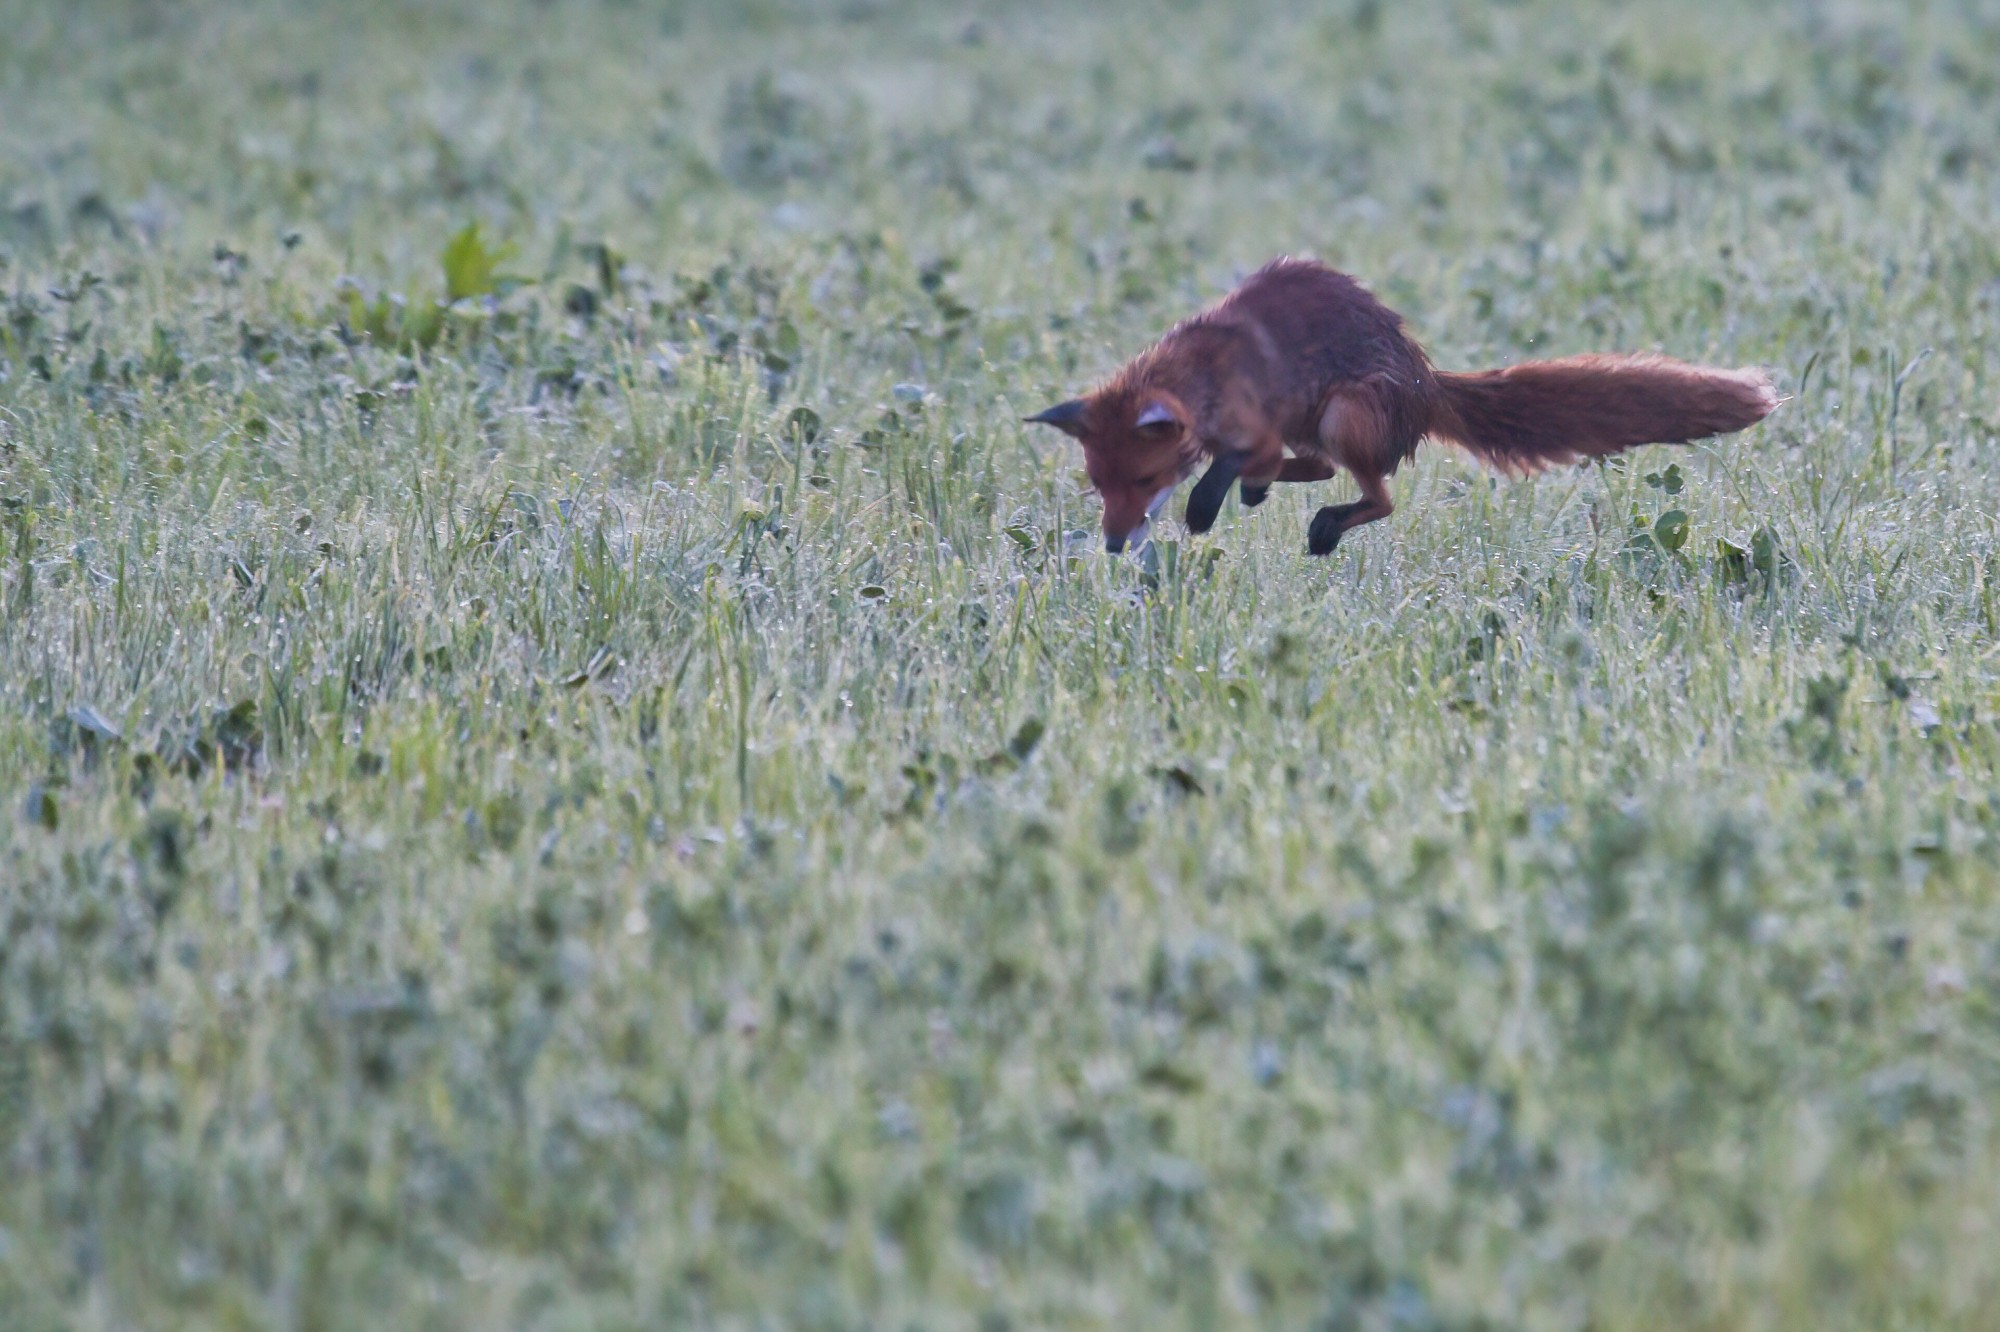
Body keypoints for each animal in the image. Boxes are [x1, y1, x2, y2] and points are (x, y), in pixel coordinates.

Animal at [1027, 256, 1778, 554]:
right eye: (1100, 486)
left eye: (1146, 479)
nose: (1113, 545)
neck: (1208, 377)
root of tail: (1425, 379)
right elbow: (1237, 466)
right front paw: (1225, 496)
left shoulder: (1257, 431)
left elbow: (1228, 468)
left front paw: (1205, 506)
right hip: (1323, 425)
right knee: (1324, 474)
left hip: (1343, 414)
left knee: (1376, 496)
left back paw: (1322, 524)